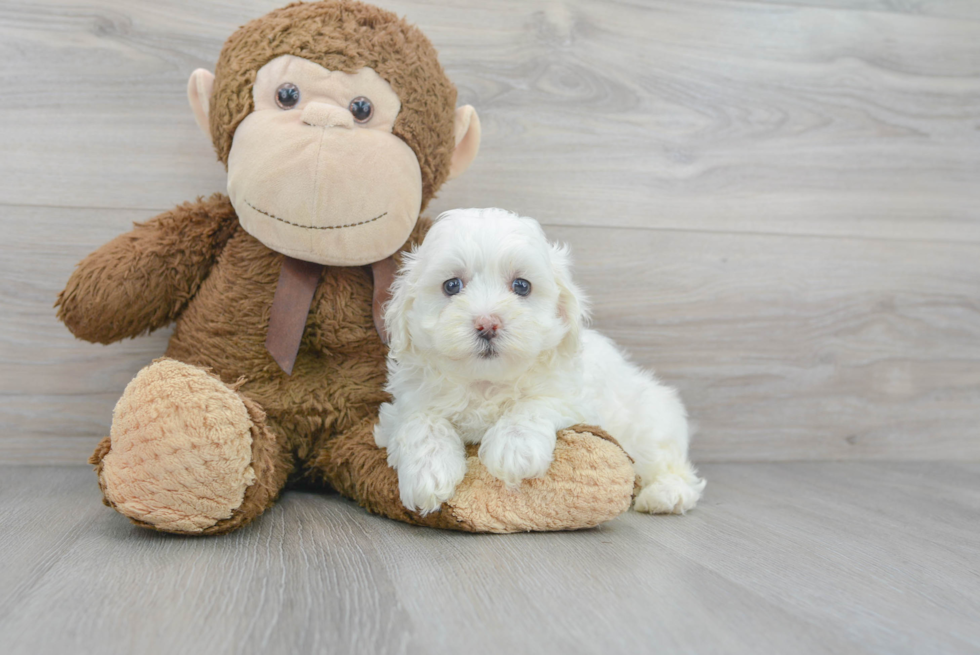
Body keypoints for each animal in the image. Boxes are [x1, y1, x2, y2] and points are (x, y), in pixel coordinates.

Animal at [376, 210, 704, 516]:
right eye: (452, 285)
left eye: (522, 286)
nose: (487, 323)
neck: (485, 382)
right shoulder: (404, 405)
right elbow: (421, 422)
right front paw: (427, 473)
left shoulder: (574, 399)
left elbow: (534, 404)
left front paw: (514, 449)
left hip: (650, 424)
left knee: (670, 464)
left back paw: (666, 494)